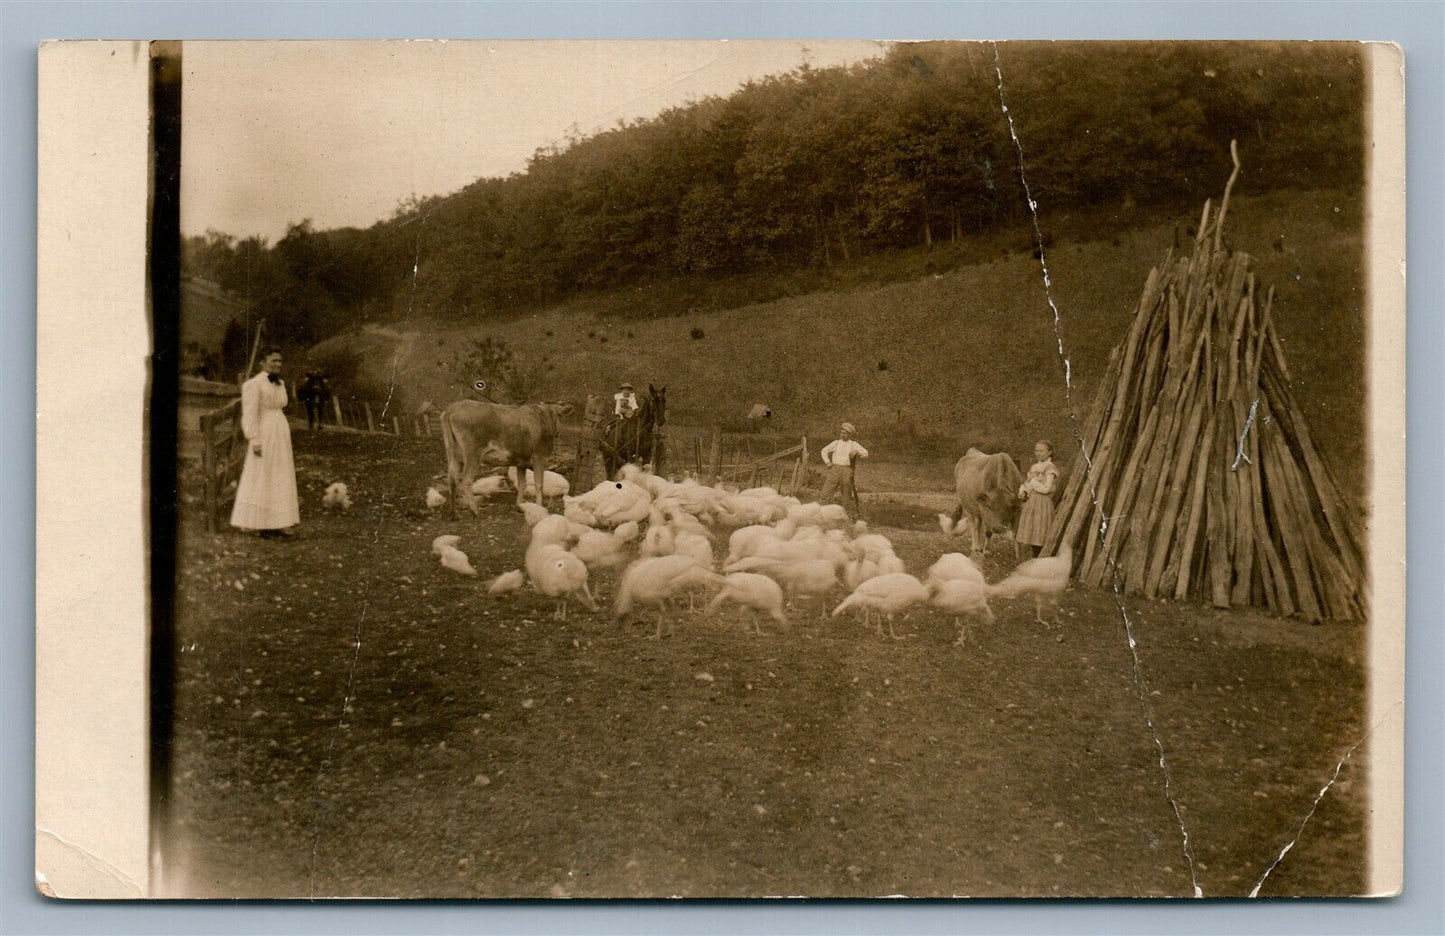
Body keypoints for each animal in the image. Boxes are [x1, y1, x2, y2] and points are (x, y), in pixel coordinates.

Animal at [442, 395, 572, 511]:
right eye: (558, 415)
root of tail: (452, 408)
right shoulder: (539, 456)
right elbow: (539, 483)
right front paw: (539, 506)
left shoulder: (522, 462)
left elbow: (522, 484)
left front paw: (520, 505)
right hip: (472, 453)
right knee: (466, 479)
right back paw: (475, 511)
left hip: (453, 453)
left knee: (451, 477)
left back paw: (453, 513)